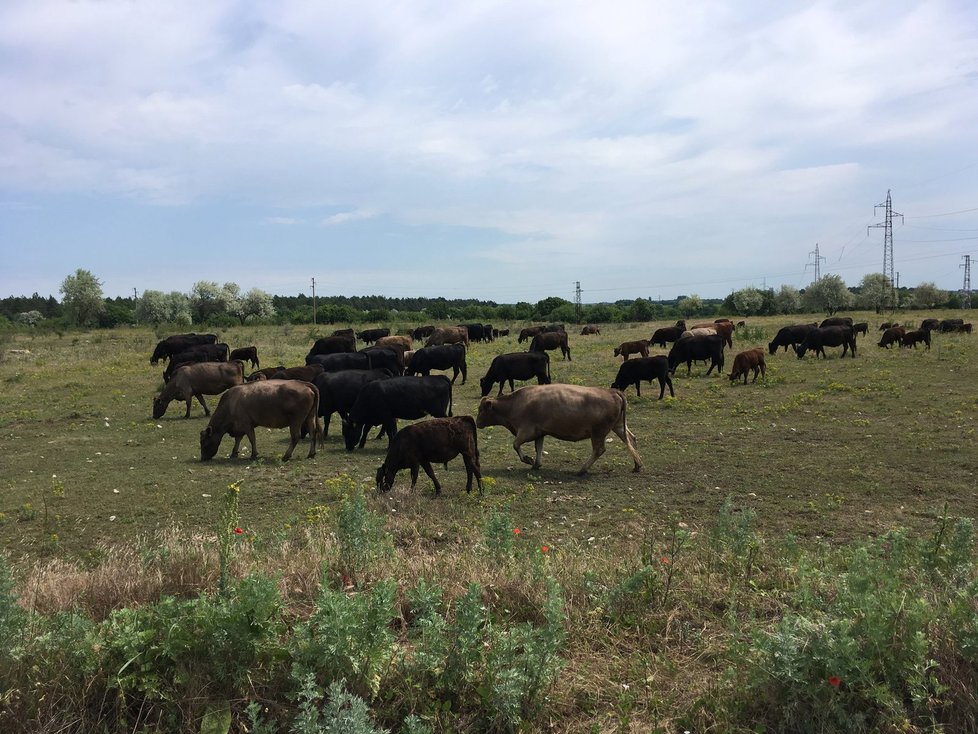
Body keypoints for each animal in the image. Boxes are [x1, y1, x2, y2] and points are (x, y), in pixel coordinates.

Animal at [476, 386, 644, 478]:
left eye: (481, 410)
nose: (477, 423)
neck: (514, 404)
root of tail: (613, 392)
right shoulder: (540, 432)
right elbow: (538, 448)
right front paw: (536, 464)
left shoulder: (526, 431)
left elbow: (516, 445)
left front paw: (528, 460)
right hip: (618, 426)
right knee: (631, 439)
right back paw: (637, 465)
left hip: (598, 432)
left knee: (599, 449)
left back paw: (582, 470)